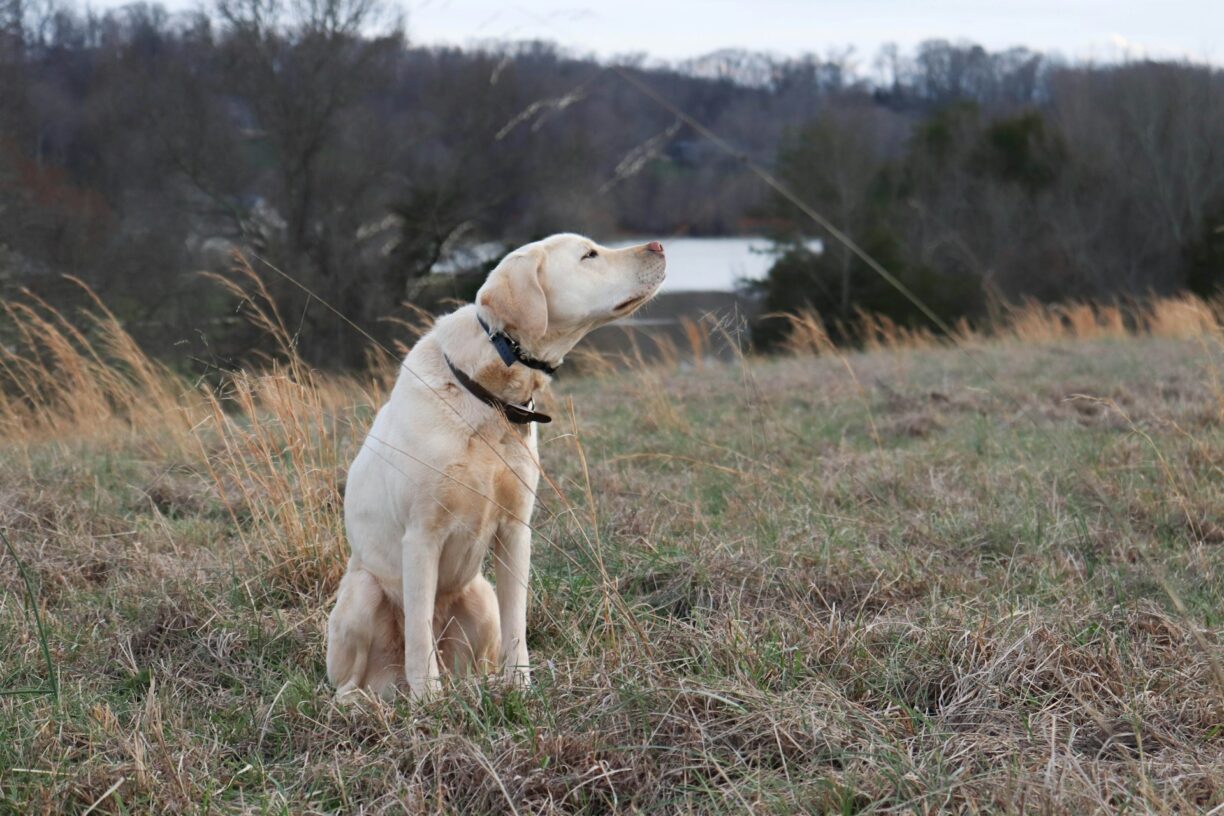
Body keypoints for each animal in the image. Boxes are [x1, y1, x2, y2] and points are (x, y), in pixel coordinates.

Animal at [325, 232, 665, 699]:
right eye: (589, 254)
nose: (659, 246)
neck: (489, 398)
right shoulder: (421, 537)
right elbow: (418, 634)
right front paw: (429, 701)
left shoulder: (516, 530)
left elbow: (516, 623)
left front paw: (520, 687)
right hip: (362, 591)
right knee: (352, 680)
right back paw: (363, 701)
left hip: (479, 595)